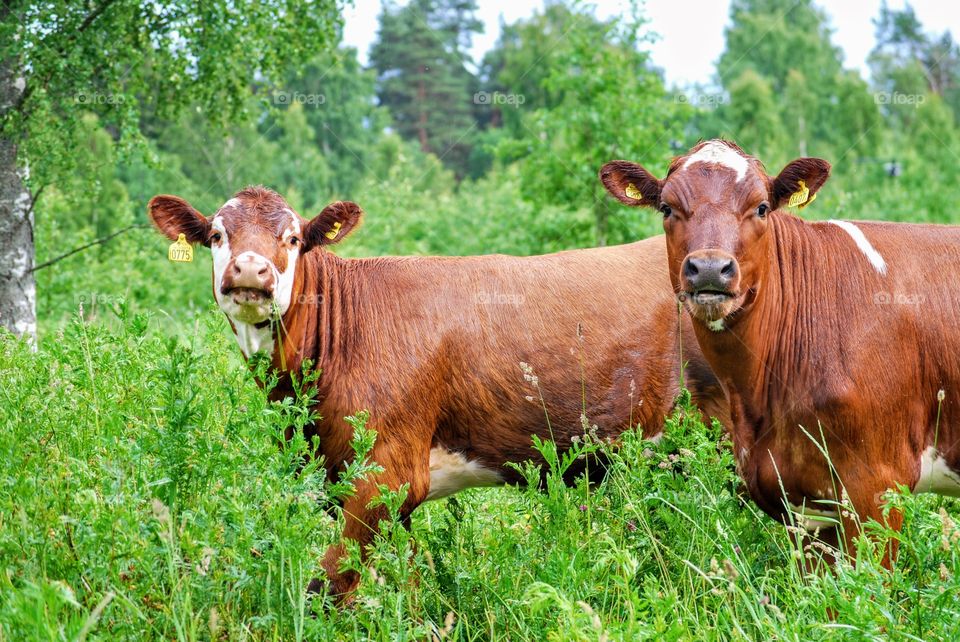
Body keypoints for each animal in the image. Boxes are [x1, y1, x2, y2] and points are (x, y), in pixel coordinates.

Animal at [150, 186, 732, 600]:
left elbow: (328, 586)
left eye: (293, 239)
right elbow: (404, 581)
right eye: (218, 234)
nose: (251, 269)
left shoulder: (386, 472)